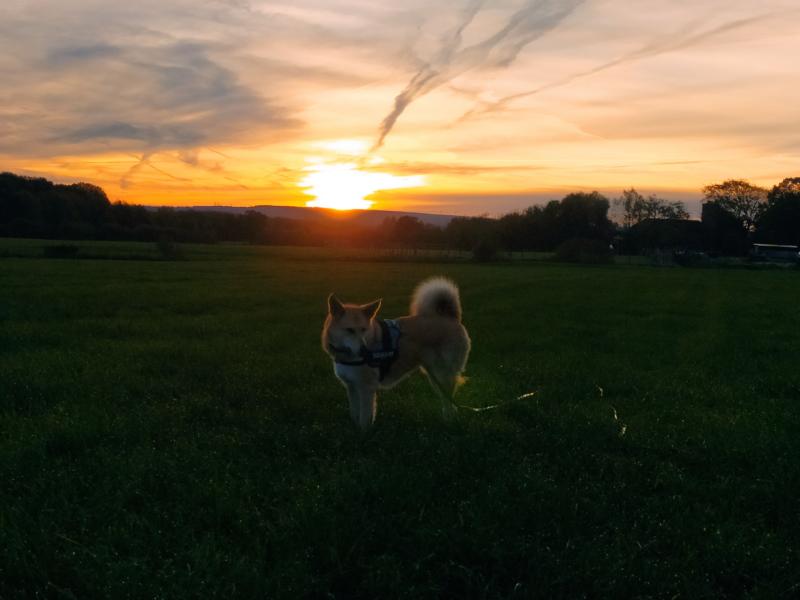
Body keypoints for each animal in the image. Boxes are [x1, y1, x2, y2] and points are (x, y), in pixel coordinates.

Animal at [320, 278, 468, 428]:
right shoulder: (352, 387)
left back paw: (449, 423)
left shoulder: (366, 388)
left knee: (449, 402)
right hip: (434, 376)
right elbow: (354, 415)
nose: (364, 350)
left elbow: (364, 419)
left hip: (443, 374)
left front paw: (364, 433)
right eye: (349, 330)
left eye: (364, 329)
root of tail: (450, 317)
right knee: (448, 402)